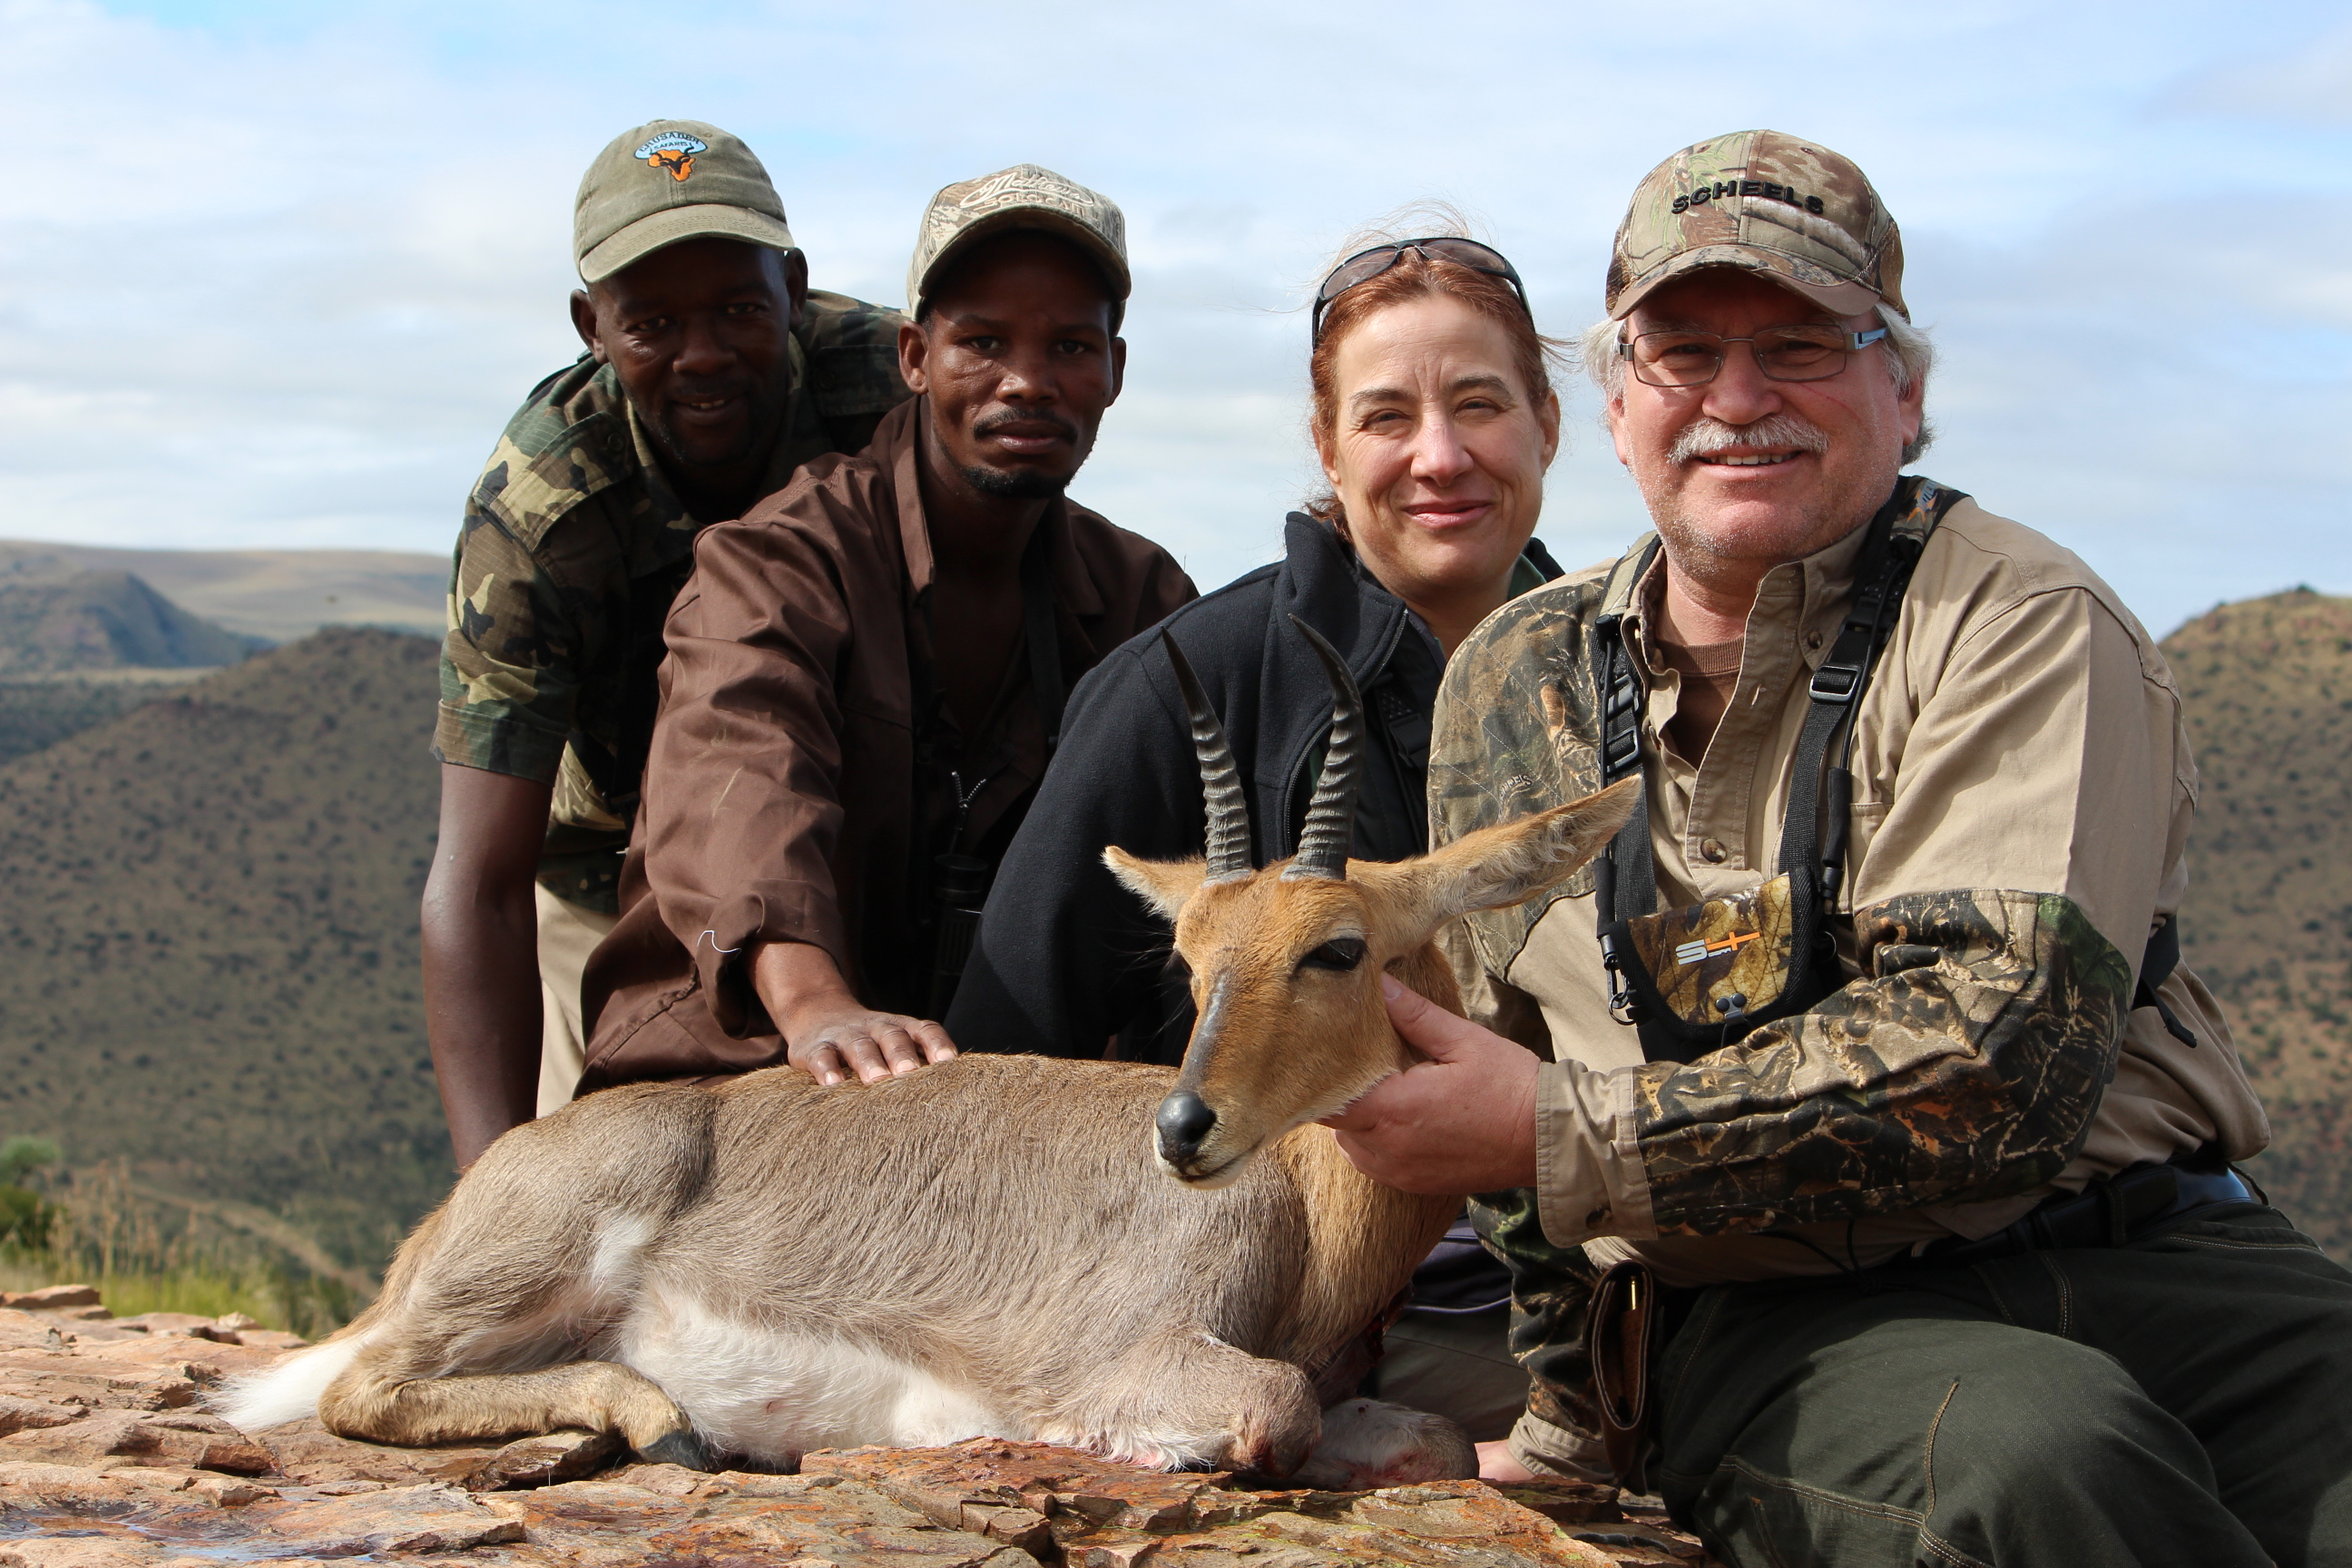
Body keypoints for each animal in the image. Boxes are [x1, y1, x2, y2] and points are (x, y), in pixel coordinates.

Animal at [220, 620, 1637, 1485]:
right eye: (1189, 953)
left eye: (1337, 948)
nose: (1185, 1133)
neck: (1296, 1209)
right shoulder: (1123, 1360)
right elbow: (1269, 1413)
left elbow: (1430, 1440)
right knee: (358, 1389)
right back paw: (666, 1425)